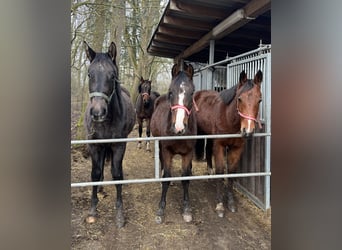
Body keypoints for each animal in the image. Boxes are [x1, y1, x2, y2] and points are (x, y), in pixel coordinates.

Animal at [83, 41, 136, 229]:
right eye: (89, 74)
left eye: (112, 76)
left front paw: (120, 214)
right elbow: (95, 172)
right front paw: (92, 209)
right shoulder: (94, 145)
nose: (98, 112)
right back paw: (100, 188)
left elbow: (117, 174)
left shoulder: (119, 145)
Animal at [150, 63, 196, 225]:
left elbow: (185, 178)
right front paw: (160, 209)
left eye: (192, 92)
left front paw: (187, 209)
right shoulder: (167, 151)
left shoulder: (188, 153)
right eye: (171, 92)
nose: (178, 127)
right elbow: (166, 177)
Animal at [194, 69, 264, 218]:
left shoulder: (237, 148)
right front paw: (220, 205)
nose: (248, 131)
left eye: (259, 100)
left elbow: (231, 172)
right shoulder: (220, 146)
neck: (227, 118)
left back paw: (210, 172)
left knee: (208, 150)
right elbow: (221, 171)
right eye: (239, 99)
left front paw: (231, 202)